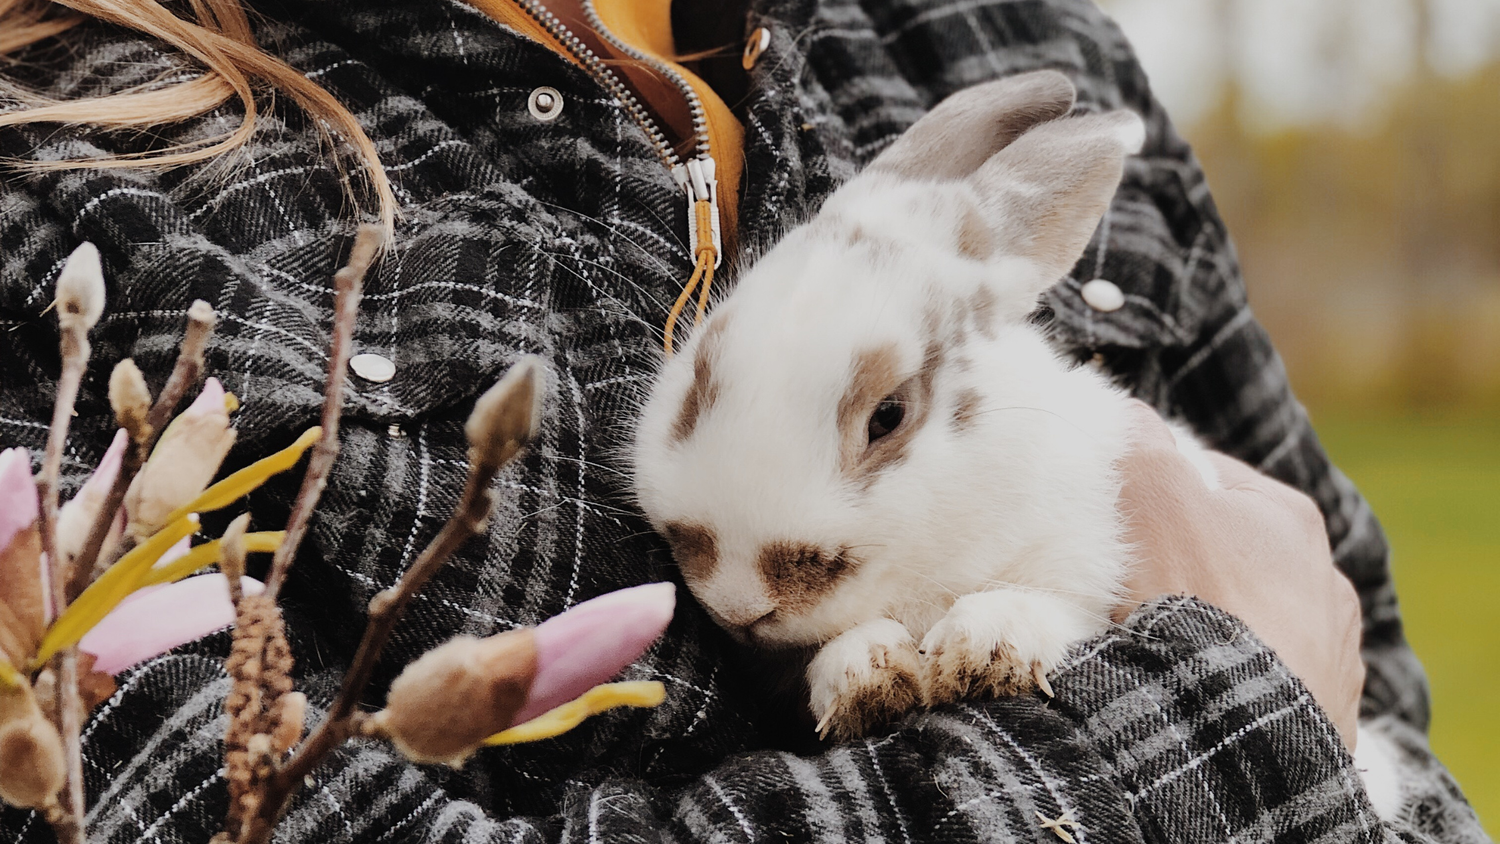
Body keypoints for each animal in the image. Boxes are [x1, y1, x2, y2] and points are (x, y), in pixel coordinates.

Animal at [630, 70, 1401, 817]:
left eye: (888, 415)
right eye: (699, 365)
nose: (737, 598)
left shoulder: (1087, 560)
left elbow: (1046, 606)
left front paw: (979, 652)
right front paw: (867, 679)